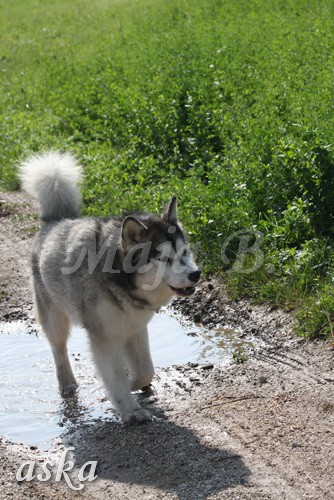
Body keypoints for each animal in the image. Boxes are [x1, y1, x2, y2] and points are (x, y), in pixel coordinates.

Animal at [19, 150, 200, 424]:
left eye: (185, 252)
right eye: (165, 259)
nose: (196, 274)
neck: (122, 284)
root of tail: (55, 221)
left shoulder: (135, 328)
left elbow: (145, 369)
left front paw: (135, 383)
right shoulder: (103, 336)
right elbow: (114, 374)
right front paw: (130, 410)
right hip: (54, 318)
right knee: (58, 348)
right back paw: (67, 383)